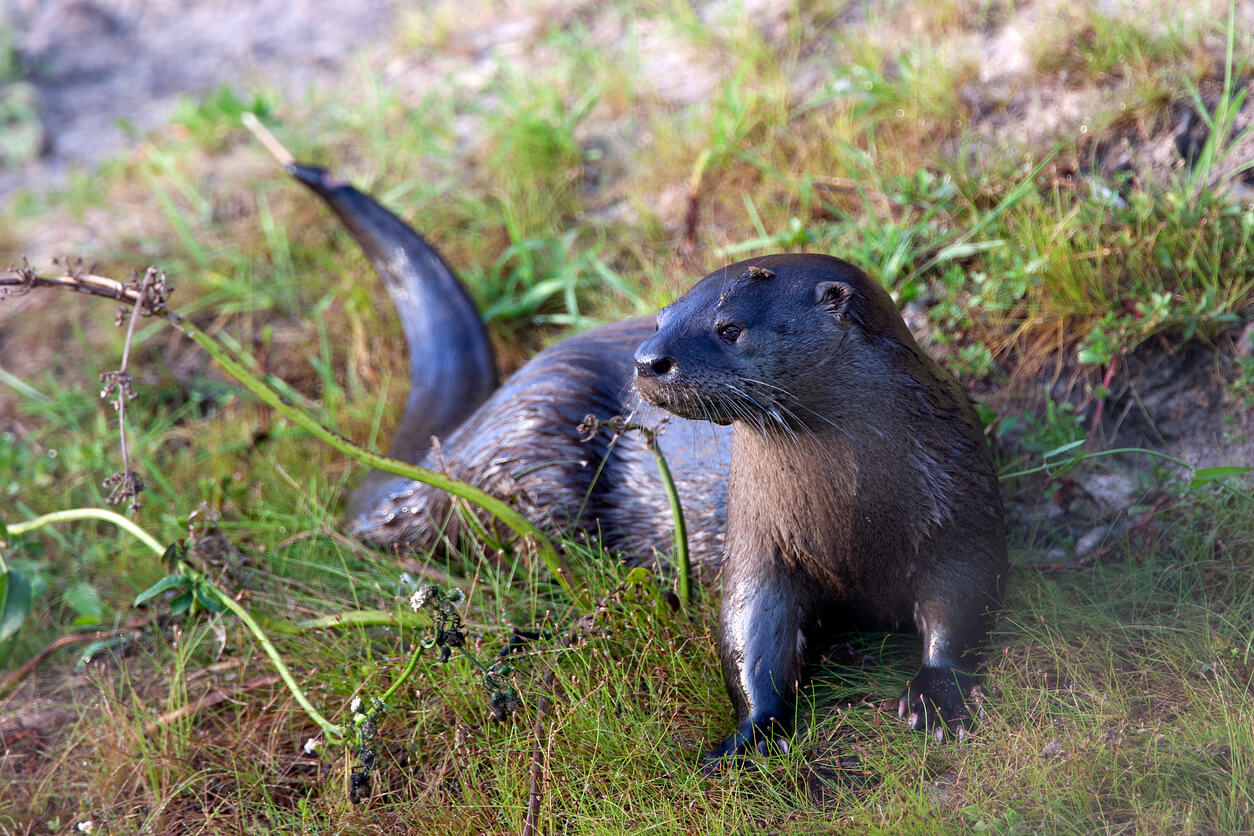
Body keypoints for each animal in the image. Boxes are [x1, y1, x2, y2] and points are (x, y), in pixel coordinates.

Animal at [288, 163, 1006, 762]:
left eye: (729, 328)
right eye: (664, 315)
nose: (647, 359)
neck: (853, 515)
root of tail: (481, 420)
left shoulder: (960, 503)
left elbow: (963, 602)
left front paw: (938, 697)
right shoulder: (761, 542)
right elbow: (750, 631)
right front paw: (749, 734)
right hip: (537, 452)